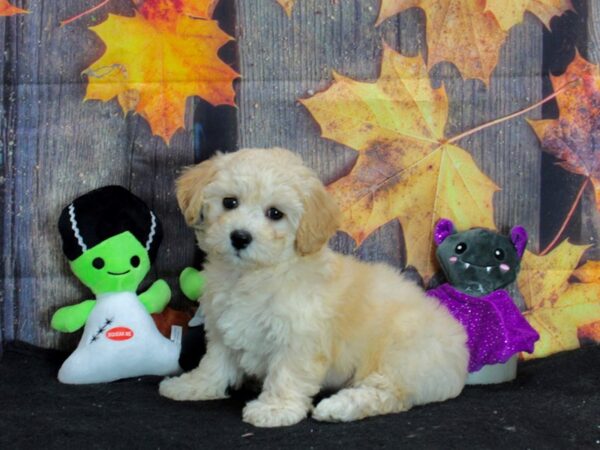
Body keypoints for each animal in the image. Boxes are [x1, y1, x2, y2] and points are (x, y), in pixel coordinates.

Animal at [159, 149, 468, 428]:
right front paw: (193, 385)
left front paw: (274, 409)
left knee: (387, 395)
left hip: (401, 358)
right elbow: (215, 363)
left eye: (275, 213)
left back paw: (338, 407)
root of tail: (460, 352)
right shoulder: (222, 328)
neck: (254, 275)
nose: (240, 237)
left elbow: (286, 374)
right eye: (229, 202)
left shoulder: (299, 338)